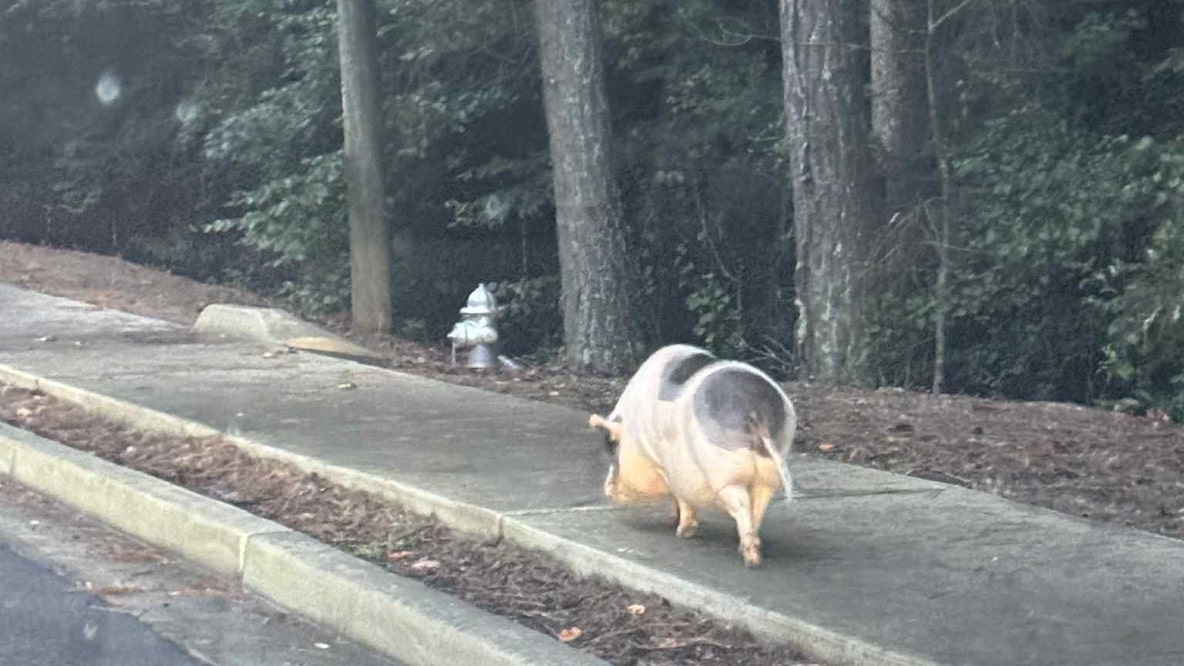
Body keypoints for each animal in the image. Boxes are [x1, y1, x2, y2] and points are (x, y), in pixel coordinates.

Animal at [590, 344, 795, 567]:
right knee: (758, 506)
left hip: (725, 475)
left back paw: (751, 559)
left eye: (612, 445)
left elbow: (681, 497)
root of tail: (754, 410)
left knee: (741, 505)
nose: (607, 489)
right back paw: (746, 547)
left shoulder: (669, 468)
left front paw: (681, 530)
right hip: (768, 474)